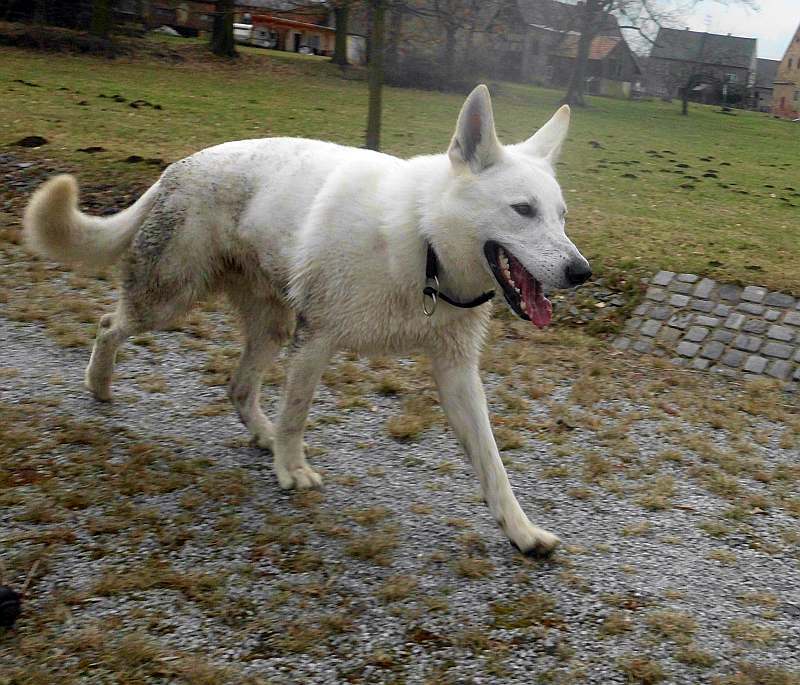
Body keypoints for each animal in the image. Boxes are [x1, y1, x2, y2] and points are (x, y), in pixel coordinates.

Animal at [25, 85, 588, 556]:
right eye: (522, 209)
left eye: (561, 216)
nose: (580, 272)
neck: (423, 241)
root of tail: (177, 168)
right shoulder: (316, 340)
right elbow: (297, 412)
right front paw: (291, 470)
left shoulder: (457, 375)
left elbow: (494, 467)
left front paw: (521, 531)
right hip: (166, 302)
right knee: (108, 324)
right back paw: (100, 385)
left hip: (269, 328)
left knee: (237, 387)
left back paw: (262, 434)